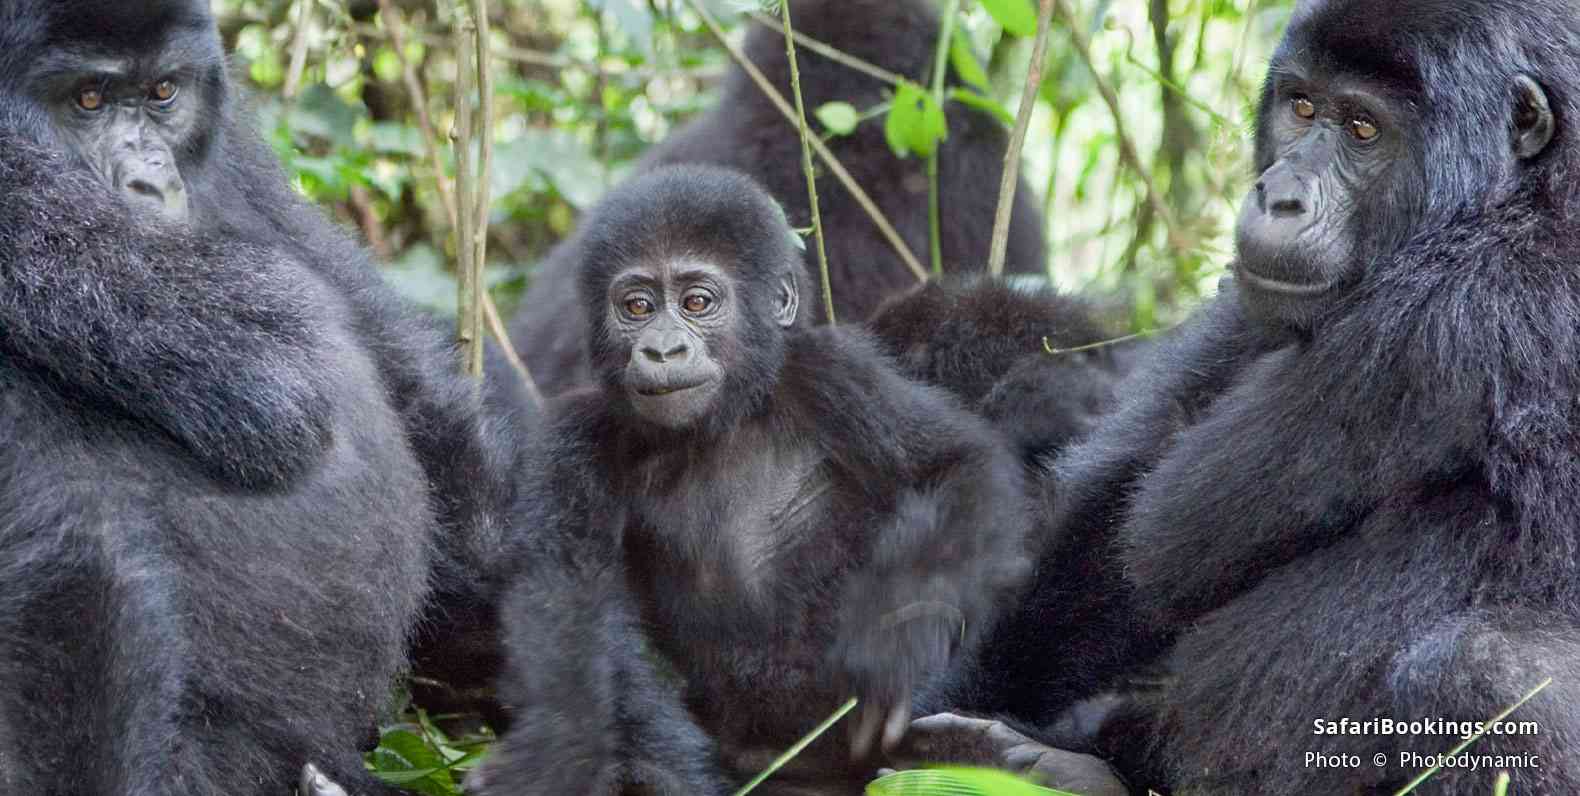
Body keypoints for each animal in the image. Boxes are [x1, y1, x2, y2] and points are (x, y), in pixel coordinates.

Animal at [0, 3, 511, 792]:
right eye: (86, 99)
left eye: (164, 93)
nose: (150, 184)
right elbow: (69, 564)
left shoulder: (234, 146)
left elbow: (400, 367)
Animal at [474, 163, 1030, 796]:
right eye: (636, 306)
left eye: (697, 301)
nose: (662, 349)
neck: (722, 422)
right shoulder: (576, 435)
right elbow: (565, 594)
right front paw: (559, 748)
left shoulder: (833, 370)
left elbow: (956, 464)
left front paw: (898, 639)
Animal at [910, 3, 1580, 792]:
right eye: (1302, 106)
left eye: (1364, 129)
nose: (1278, 195)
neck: (1528, 189)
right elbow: (1115, 510)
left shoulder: (1460, 308)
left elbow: (1164, 537)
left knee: (1484, 673)